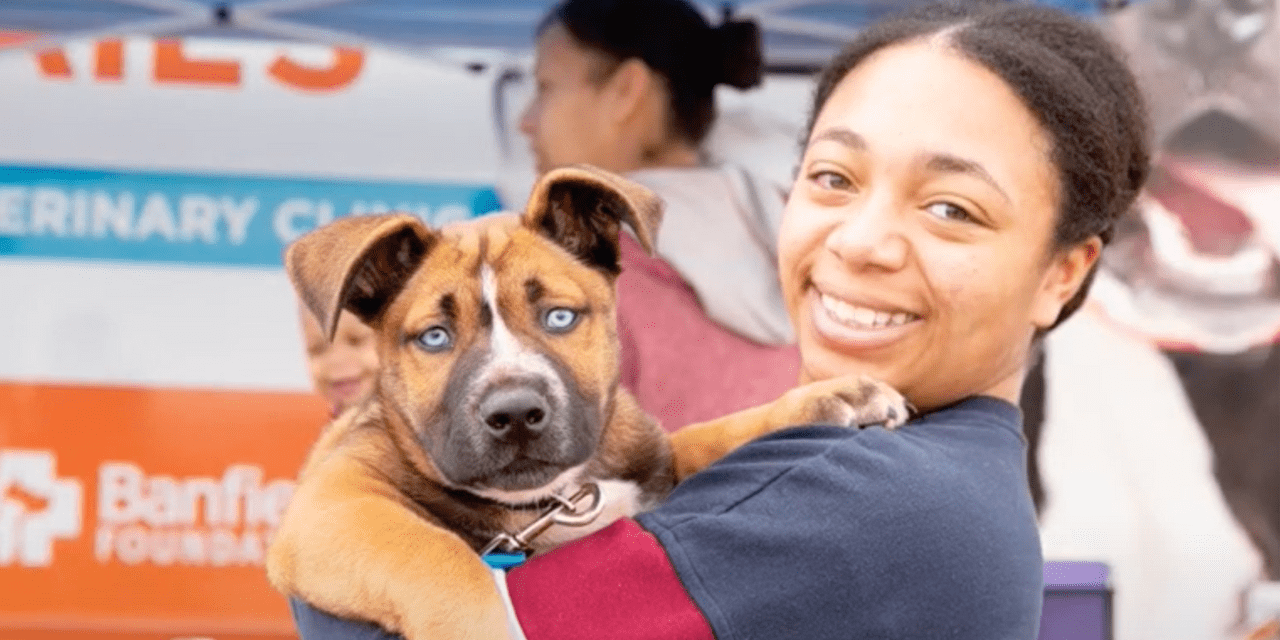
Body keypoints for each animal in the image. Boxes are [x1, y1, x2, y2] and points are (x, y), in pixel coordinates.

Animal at [264, 166, 911, 640]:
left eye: (559, 317)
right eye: (435, 338)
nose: (515, 413)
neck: (551, 499)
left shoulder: (652, 458)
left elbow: (713, 431)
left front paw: (828, 396)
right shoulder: (333, 505)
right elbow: (435, 556)